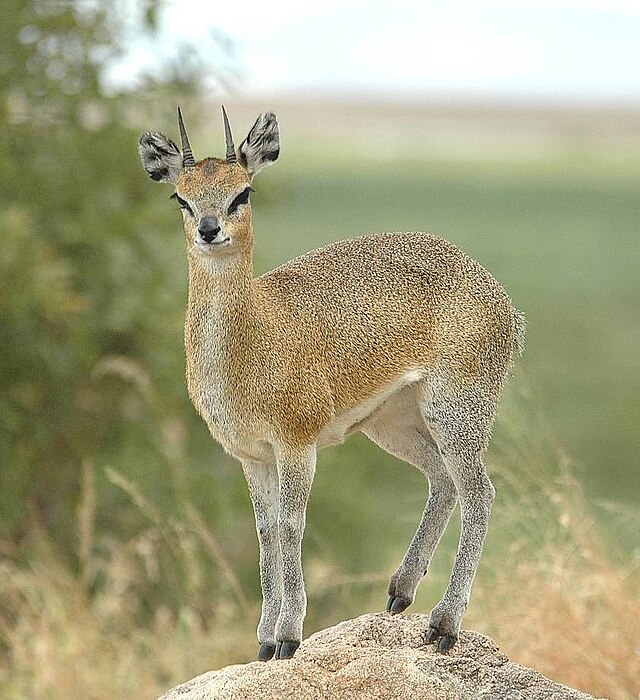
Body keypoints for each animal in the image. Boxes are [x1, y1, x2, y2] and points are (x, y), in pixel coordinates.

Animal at [138, 106, 524, 660]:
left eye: (243, 192)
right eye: (181, 197)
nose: (210, 230)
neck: (255, 334)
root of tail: (502, 298)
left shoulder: (297, 446)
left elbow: (291, 526)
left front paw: (288, 635)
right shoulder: (252, 455)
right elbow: (265, 534)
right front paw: (263, 640)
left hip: (456, 409)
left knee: (480, 492)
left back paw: (444, 624)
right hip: (393, 423)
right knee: (443, 480)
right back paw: (399, 592)